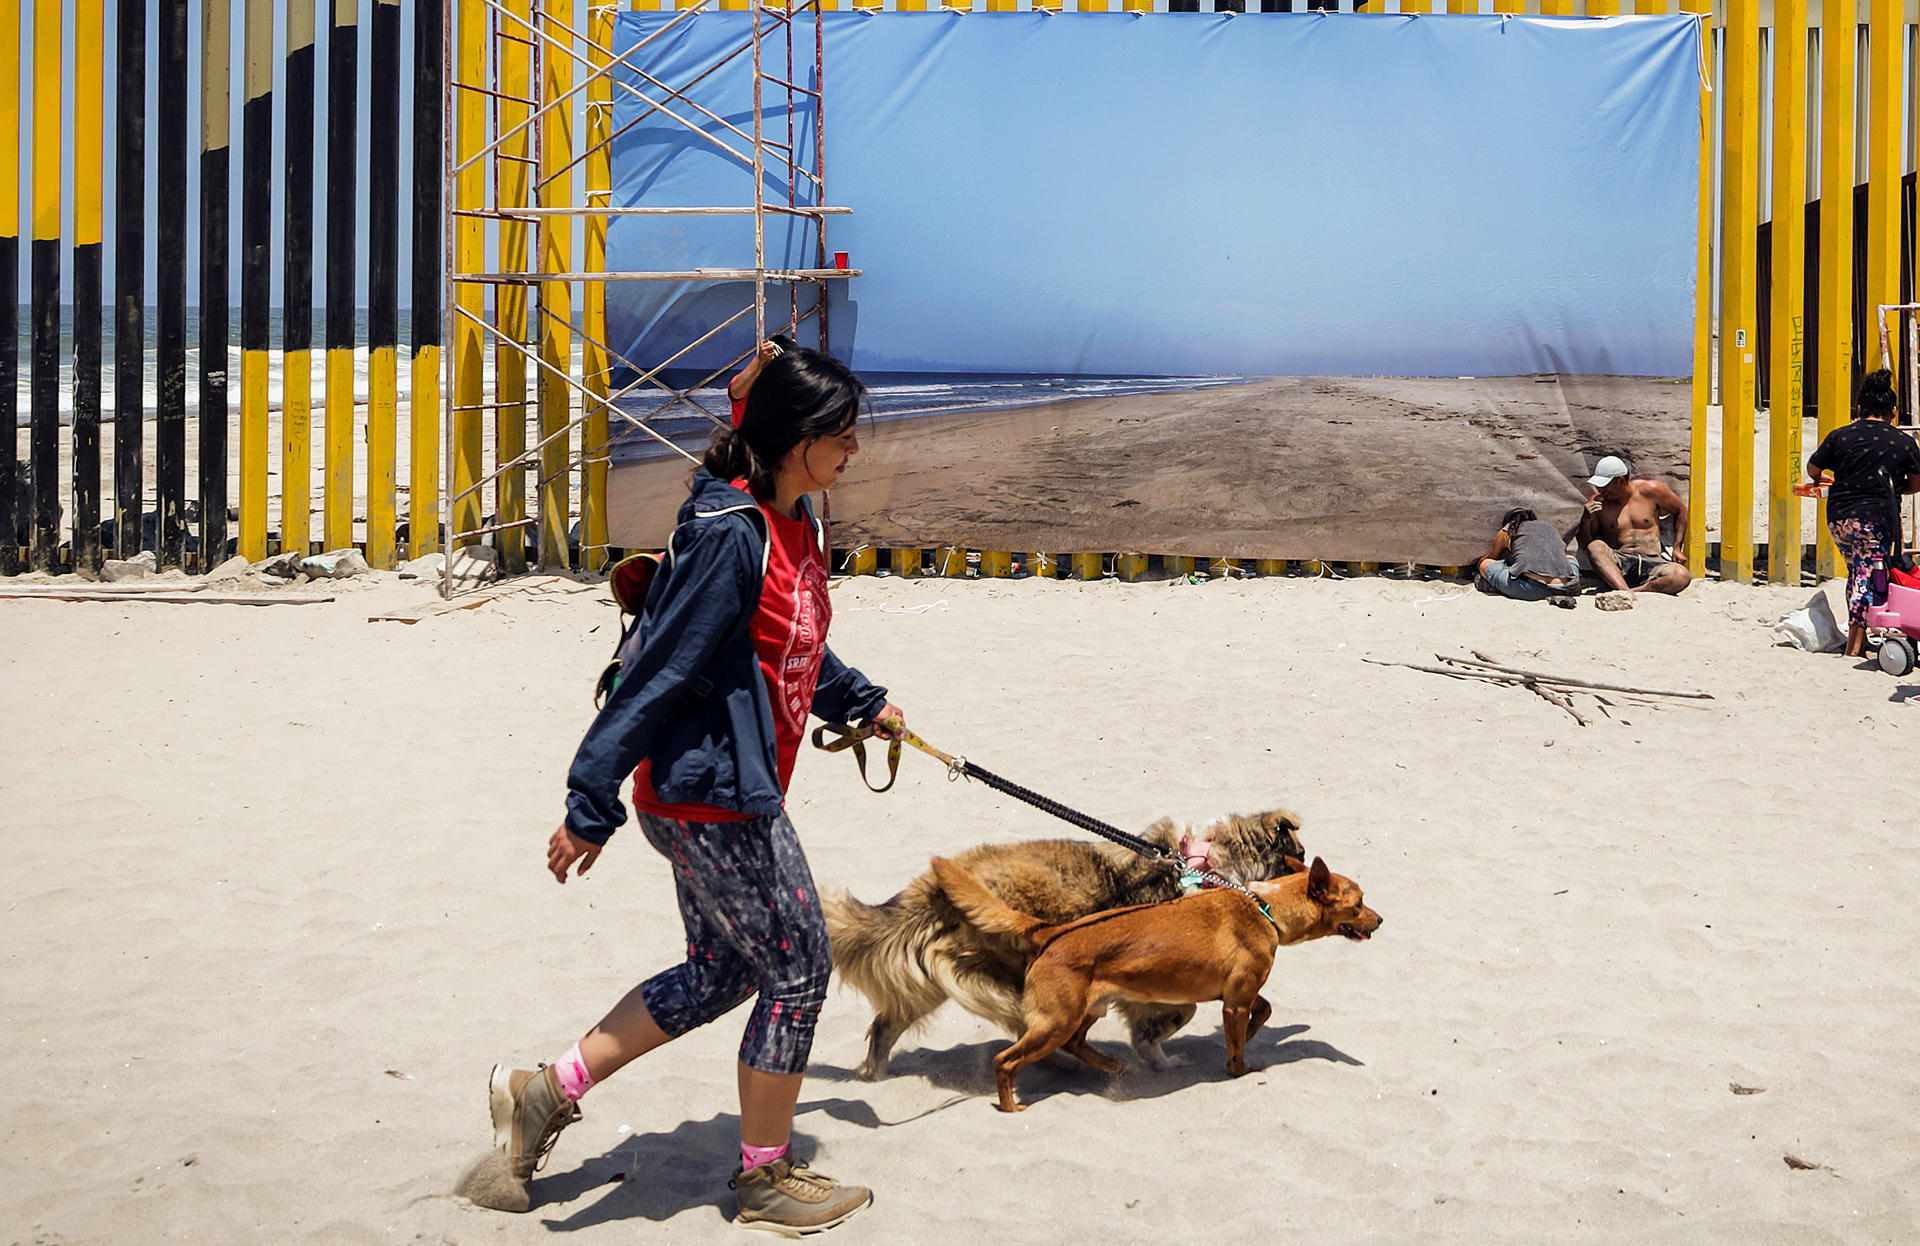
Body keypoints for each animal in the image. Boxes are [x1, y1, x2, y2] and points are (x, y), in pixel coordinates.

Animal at [825, 806, 1305, 1075]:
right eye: (1298, 858)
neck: (1202, 867)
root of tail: (931, 886)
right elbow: (1173, 1017)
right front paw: (1158, 1058)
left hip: (937, 978)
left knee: (887, 1023)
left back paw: (874, 1074)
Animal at [929, 856, 1382, 1105]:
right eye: (1359, 904)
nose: (1380, 919)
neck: (1264, 906)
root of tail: (1051, 931)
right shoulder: (1235, 1000)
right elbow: (1237, 1048)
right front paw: (1240, 1068)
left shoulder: (1239, 993)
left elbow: (1264, 1011)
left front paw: (1253, 1034)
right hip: (1056, 1021)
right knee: (1005, 1061)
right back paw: (1012, 1108)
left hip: (1086, 1011)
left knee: (1077, 1044)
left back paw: (1113, 1066)